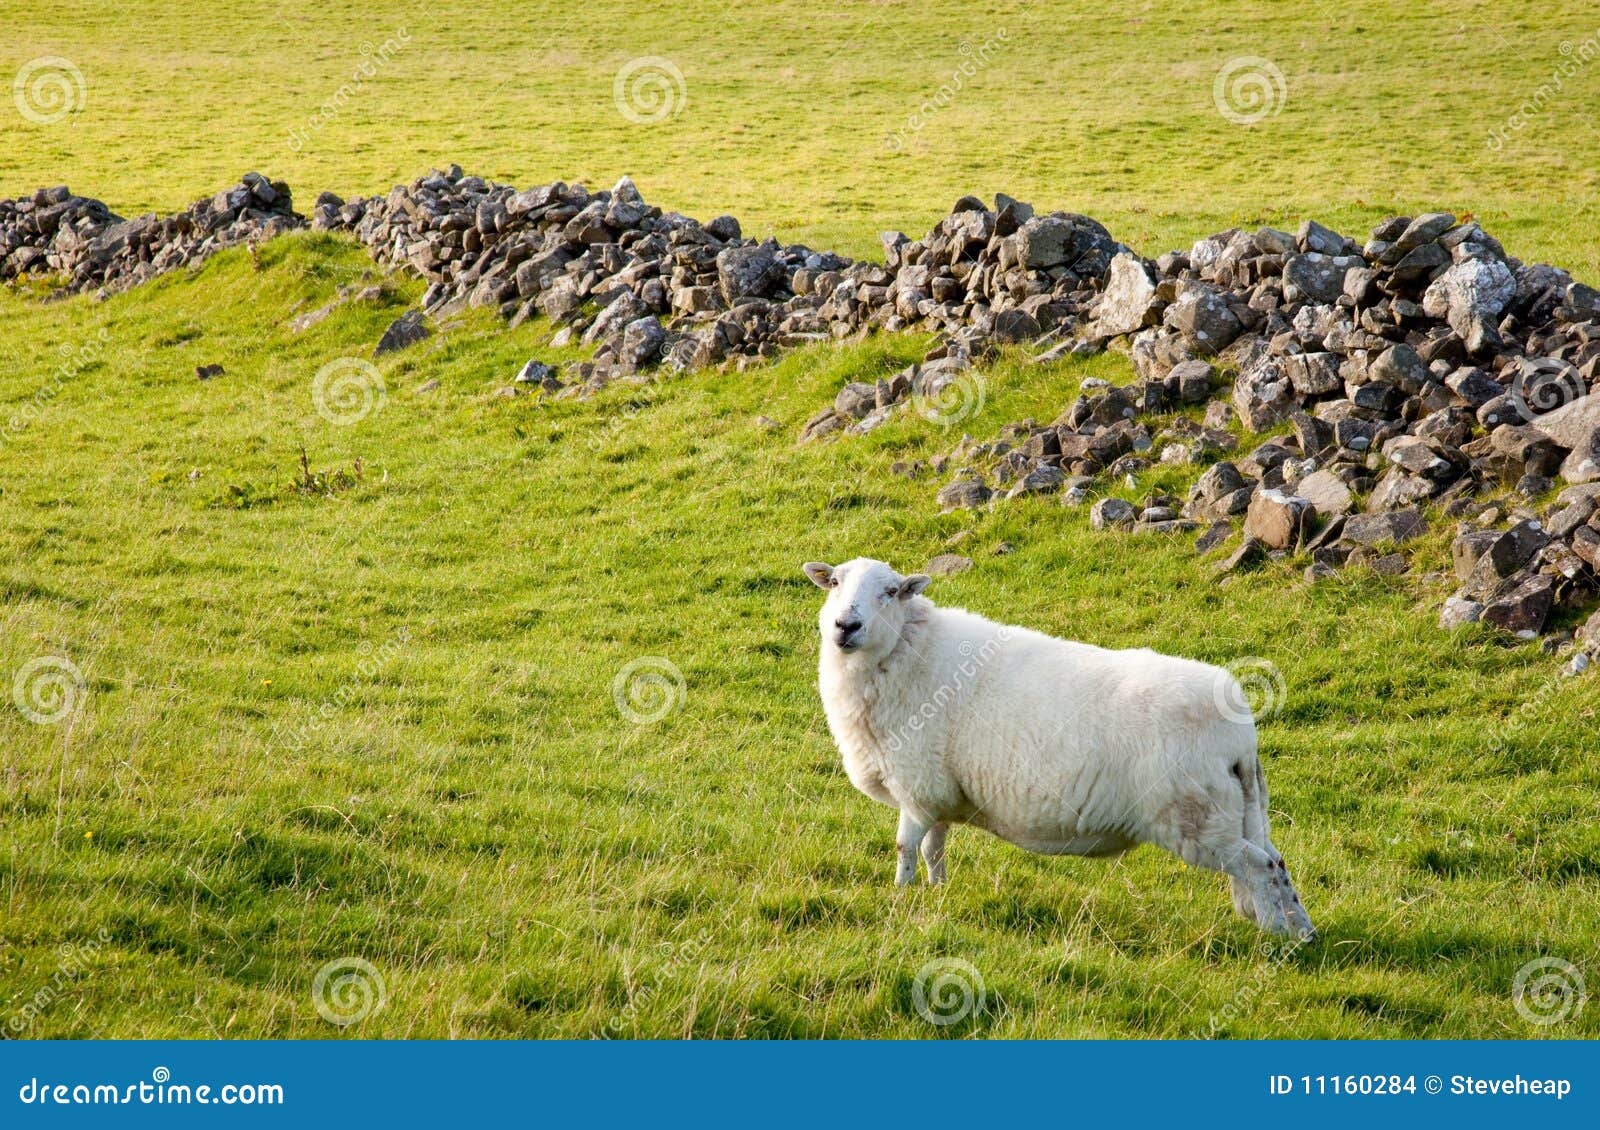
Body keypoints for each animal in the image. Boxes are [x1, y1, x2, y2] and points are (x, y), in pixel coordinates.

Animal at [800, 553, 1312, 934]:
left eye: (890, 592)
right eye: (834, 584)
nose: (845, 625)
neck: (906, 653)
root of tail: (1241, 732)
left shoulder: (916, 783)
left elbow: (906, 848)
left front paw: (902, 897)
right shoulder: (937, 791)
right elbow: (933, 850)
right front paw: (937, 892)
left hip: (1197, 819)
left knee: (1260, 866)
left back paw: (1275, 936)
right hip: (1236, 810)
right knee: (1277, 860)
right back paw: (1299, 929)